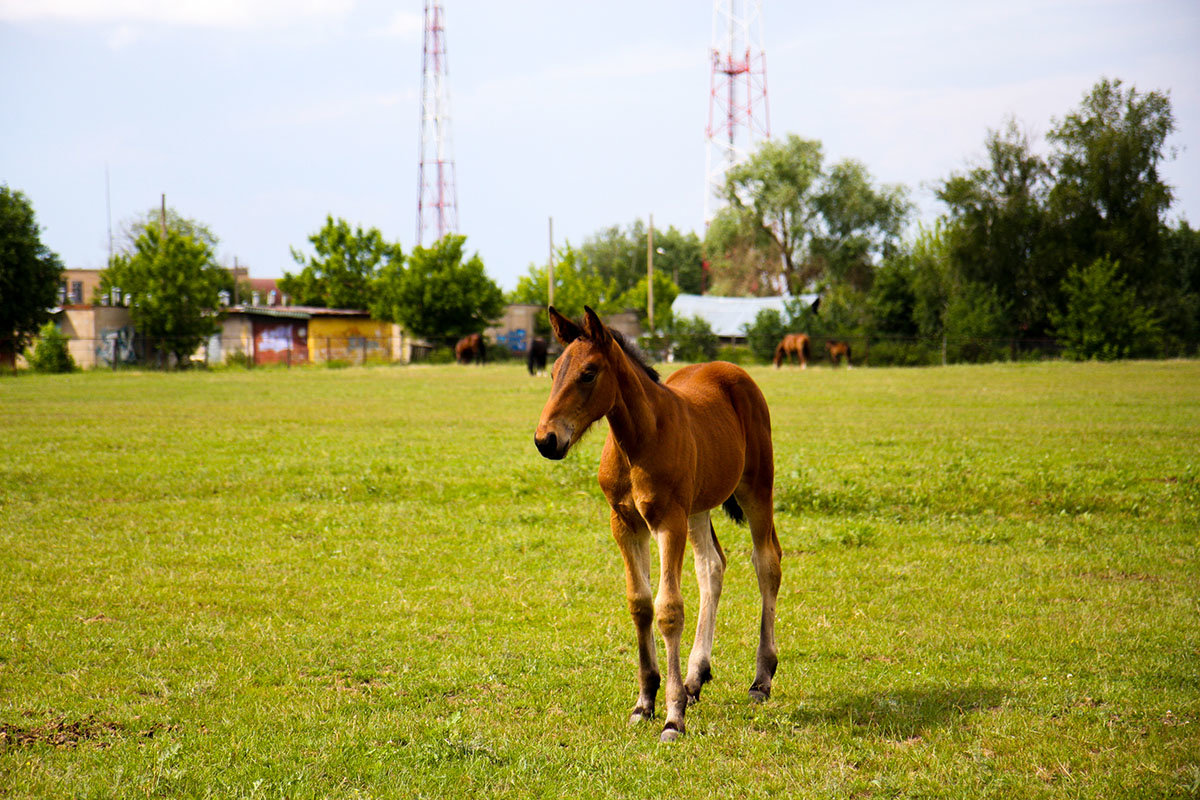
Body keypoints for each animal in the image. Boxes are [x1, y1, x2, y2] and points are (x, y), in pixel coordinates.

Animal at [532, 307, 777, 743]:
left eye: (589, 373)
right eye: (554, 371)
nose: (546, 440)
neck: (638, 441)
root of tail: (733, 369)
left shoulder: (667, 522)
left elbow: (668, 609)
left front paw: (673, 716)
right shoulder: (625, 523)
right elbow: (640, 604)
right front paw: (645, 700)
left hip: (755, 489)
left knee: (766, 563)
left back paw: (761, 679)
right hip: (698, 507)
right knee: (712, 566)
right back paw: (696, 677)